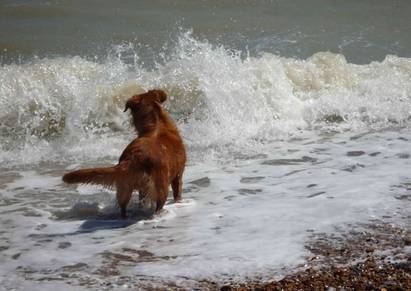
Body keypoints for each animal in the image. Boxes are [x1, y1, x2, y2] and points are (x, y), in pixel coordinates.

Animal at [62, 90, 187, 218]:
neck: (157, 125)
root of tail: (135, 157)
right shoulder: (178, 174)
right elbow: (178, 192)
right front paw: (179, 202)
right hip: (160, 186)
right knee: (158, 206)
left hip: (125, 186)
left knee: (123, 207)